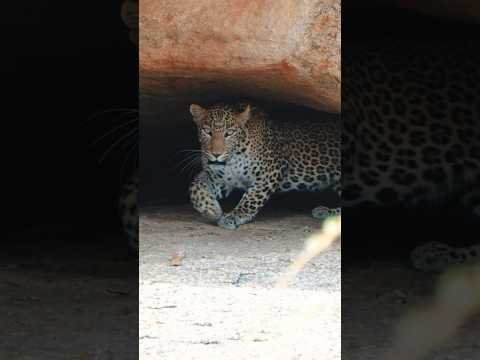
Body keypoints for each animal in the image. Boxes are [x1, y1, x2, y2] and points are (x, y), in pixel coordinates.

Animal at [188, 102, 342, 229]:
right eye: (207, 132)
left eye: (229, 133)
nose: (216, 154)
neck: (233, 159)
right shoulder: (220, 179)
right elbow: (195, 186)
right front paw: (211, 210)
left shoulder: (271, 172)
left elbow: (252, 198)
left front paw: (234, 216)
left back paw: (325, 212)